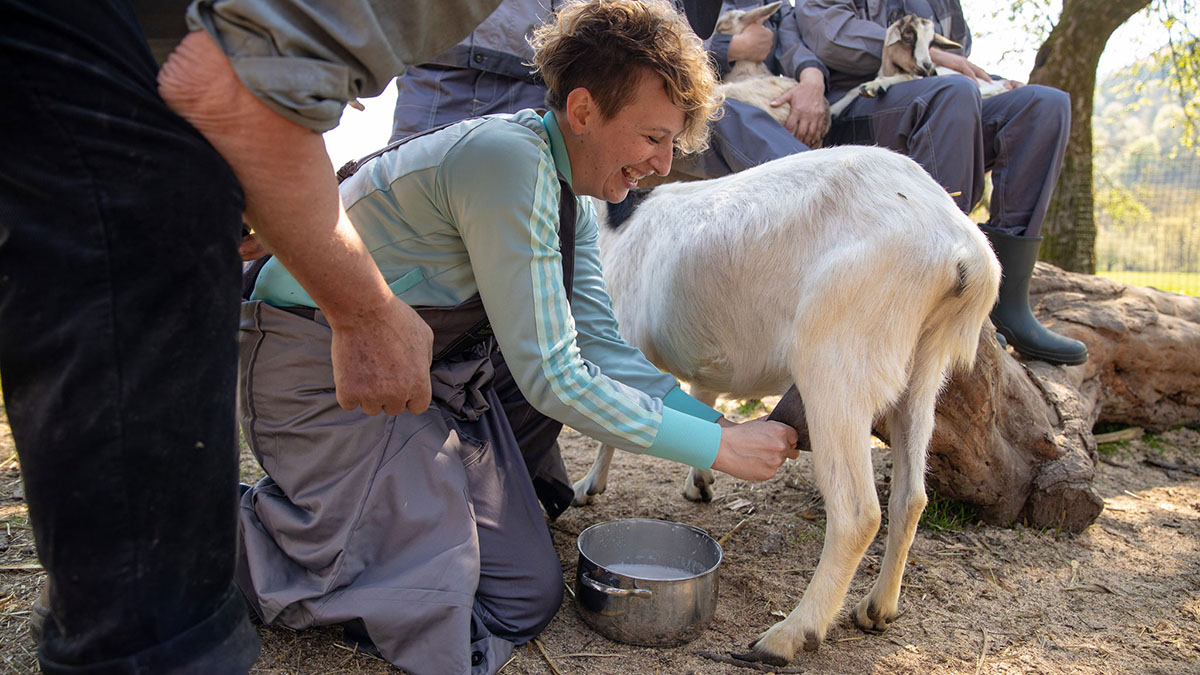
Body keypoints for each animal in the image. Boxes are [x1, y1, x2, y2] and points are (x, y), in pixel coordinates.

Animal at [576, 147, 998, 662]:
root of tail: (963, 249)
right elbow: (702, 394)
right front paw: (699, 483)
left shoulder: (622, 332)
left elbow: (614, 422)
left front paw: (589, 487)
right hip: (923, 368)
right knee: (911, 496)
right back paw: (877, 608)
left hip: (836, 357)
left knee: (858, 513)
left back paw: (788, 636)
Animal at [835, 14, 1012, 118]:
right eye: (907, 38)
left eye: (931, 44)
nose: (929, 67)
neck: (888, 70)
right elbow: (853, 90)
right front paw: (834, 109)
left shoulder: (912, 75)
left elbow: (903, 77)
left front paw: (874, 86)